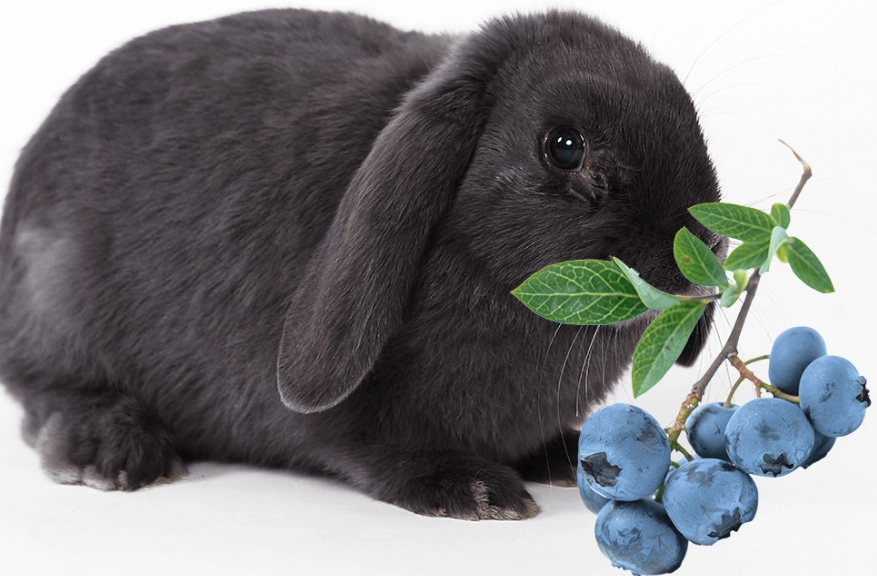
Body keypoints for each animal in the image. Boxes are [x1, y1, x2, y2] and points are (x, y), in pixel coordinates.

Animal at [0, 8, 726, 520]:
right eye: (564, 147)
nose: (702, 245)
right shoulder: (357, 419)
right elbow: (372, 445)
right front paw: (473, 490)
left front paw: (575, 454)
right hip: (59, 311)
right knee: (47, 395)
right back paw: (115, 452)